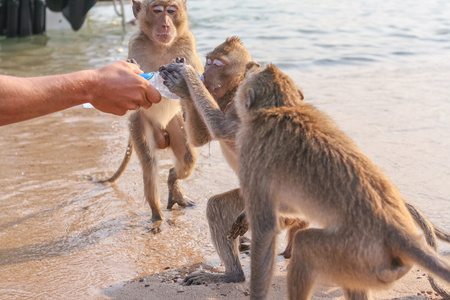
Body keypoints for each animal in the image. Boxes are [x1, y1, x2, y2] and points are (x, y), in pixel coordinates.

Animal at [99, 0, 205, 220]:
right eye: (157, 11)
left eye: (170, 11)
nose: (165, 24)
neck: (161, 46)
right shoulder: (135, 44)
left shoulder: (188, 44)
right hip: (138, 124)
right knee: (149, 162)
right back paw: (157, 214)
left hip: (176, 125)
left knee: (187, 158)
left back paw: (173, 181)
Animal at [158, 37, 310, 284]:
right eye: (209, 61)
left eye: (218, 64)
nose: (205, 72)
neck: (234, 91)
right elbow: (202, 137)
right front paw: (184, 87)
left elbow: (222, 129)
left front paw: (183, 79)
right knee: (219, 207)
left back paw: (233, 274)